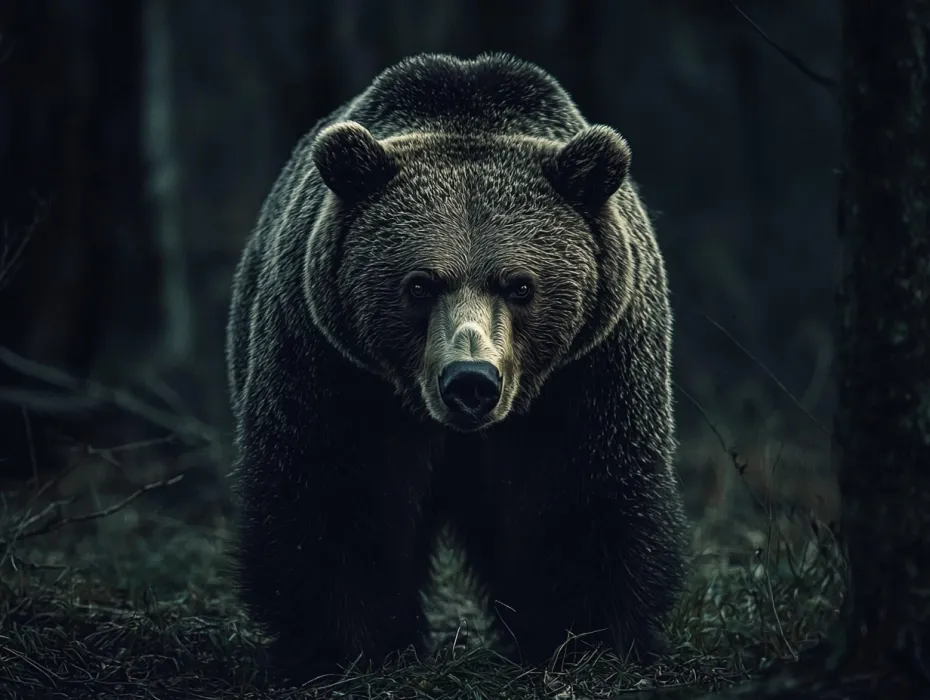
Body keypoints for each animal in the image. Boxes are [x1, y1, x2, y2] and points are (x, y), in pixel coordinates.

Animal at [226, 52, 689, 684]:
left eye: (521, 285)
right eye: (420, 284)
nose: (471, 382)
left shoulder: (590, 371)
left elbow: (584, 494)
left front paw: (586, 639)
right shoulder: (331, 365)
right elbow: (331, 493)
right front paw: (341, 646)